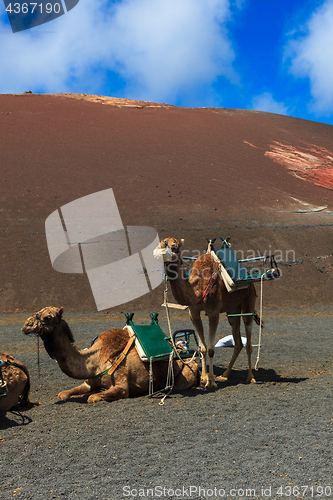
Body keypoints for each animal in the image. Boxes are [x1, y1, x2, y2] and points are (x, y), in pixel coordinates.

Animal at [22, 304, 198, 402]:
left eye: (48, 317)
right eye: (38, 311)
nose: (26, 325)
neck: (94, 362)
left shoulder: (122, 386)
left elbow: (92, 398)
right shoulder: (89, 382)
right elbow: (63, 394)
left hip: (185, 375)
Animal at [153, 237, 260, 386]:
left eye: (174, 246)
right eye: (162, 243)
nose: (156, 253)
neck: (197, 287)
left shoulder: (214, 313)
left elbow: (210, 349)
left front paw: (211, 381)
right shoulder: (194, 313)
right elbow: (202, 348)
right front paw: (203, 379)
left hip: (248, 302)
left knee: (248, 339)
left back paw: (250, 377)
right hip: (233, 309)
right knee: (238, 341)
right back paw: (225, 374)